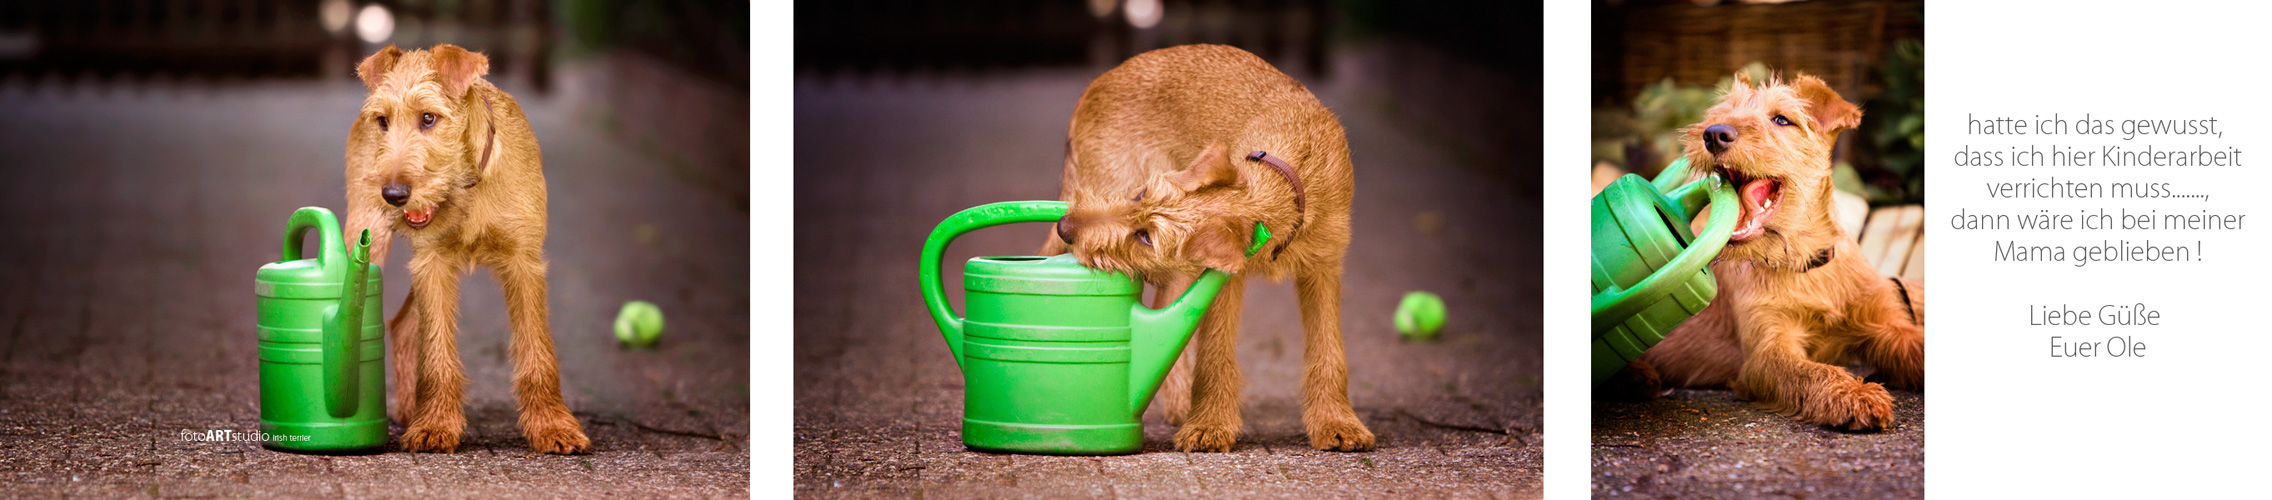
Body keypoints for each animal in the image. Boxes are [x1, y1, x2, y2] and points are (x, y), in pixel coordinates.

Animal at [343, 44, 595, 454]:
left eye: (429, 118)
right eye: (383, 121)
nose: (393, 194)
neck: (467, 186)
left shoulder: (524, 262)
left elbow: (537, 351)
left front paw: (553, 426)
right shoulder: (433, 263)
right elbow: (437, 354)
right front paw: (435, 425)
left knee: (404, 323)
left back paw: (410, 408)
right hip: (366, 240)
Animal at [1040, 44, 1363, 452]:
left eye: (1146, 236)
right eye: (1142, 194)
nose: (1066, 227)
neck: (1289, 178)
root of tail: (1099, 81)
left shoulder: (1323, 267)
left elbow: (1329, 350)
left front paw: (1337, 422)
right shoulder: (1225, 280)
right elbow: (1214, 354)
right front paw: (1209, 425)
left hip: (1178, 267)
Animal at [1608, 72, 1926, 431]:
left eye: (1782, 120)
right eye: (1723, 114)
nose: (1713, 134)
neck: (1803, 261)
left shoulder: (1887, 327)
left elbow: (1918, 345)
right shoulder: (1767, 352)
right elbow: (1812, 372)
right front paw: (1855, 394)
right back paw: (1634, 377)